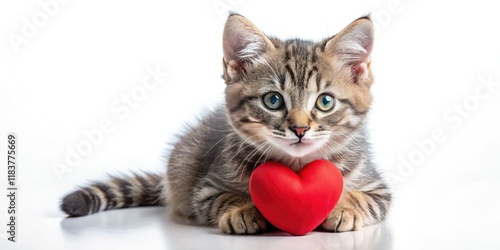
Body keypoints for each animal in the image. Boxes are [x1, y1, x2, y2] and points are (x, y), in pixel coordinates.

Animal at [60, 14, 390, 234]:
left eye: (325, 102)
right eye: (273, 100)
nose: (299, 129)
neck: (296, 166)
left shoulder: (379, 188)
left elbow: (367, 199)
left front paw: (345, 206)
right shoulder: (205, 189)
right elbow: (220, 198)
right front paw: (241, 209)